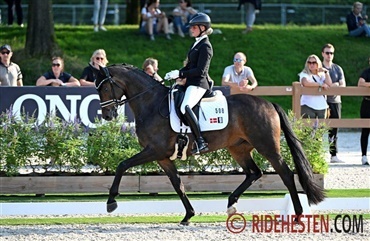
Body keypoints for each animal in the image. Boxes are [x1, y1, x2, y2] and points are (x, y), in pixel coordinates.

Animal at [92, 63, 324, 225]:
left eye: (104, 89)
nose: (107, 115)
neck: (151, 103)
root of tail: (268, 103)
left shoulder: (153, 150)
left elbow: (122, 165)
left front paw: (111, 201)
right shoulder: (163, 157)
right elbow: (178, 184)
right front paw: (188, 215)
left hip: (267, 146)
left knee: (285, 174)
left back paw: (297, 215)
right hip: (238, 148)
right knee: (254, 173)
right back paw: (231, 204)